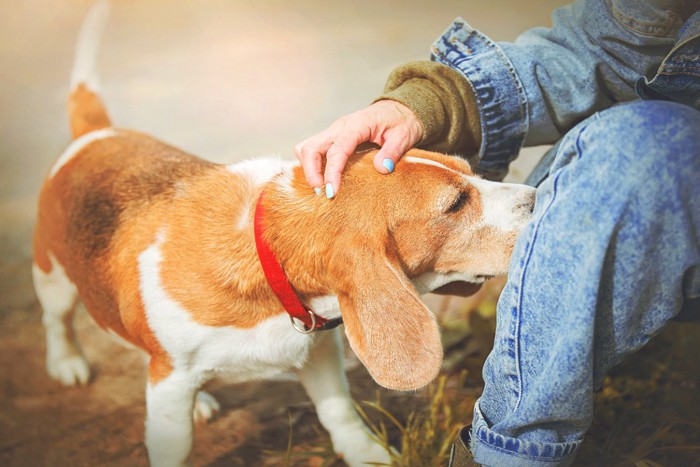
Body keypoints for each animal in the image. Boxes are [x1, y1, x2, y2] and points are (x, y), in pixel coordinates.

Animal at [31, 1, 536, 466]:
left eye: (470, 170)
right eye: (455, 203)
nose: (539, 197)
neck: (266, 255)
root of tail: (97, 134)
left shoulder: (319, 351)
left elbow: (338, 411)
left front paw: (364, 452)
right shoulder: (172, 382)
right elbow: (173, 445)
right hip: (52, 278)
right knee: (57, 322)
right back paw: (67, 362)